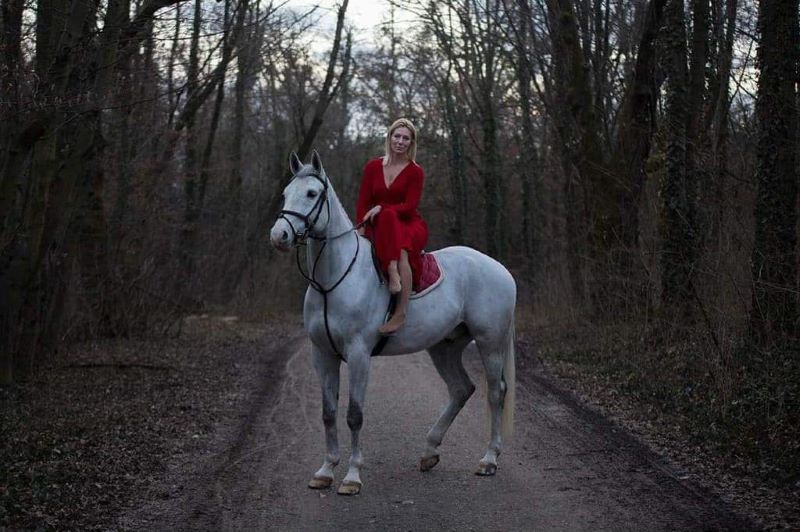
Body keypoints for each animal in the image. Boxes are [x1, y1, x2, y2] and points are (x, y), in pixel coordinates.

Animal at [270, 152, 520, 496]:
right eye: (285, 193)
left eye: (311, 193)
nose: (278, 236)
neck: (332, 281)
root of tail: (500, 269)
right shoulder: (322, 354)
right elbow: (328, 413)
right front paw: (326, 470)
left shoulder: (359, 354)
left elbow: (354, 415)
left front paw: (352, 477)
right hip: (444, 347)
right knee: (461, 389)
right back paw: (429, 452)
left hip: (490, 342)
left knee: (495, 393)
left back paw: (489, 459)